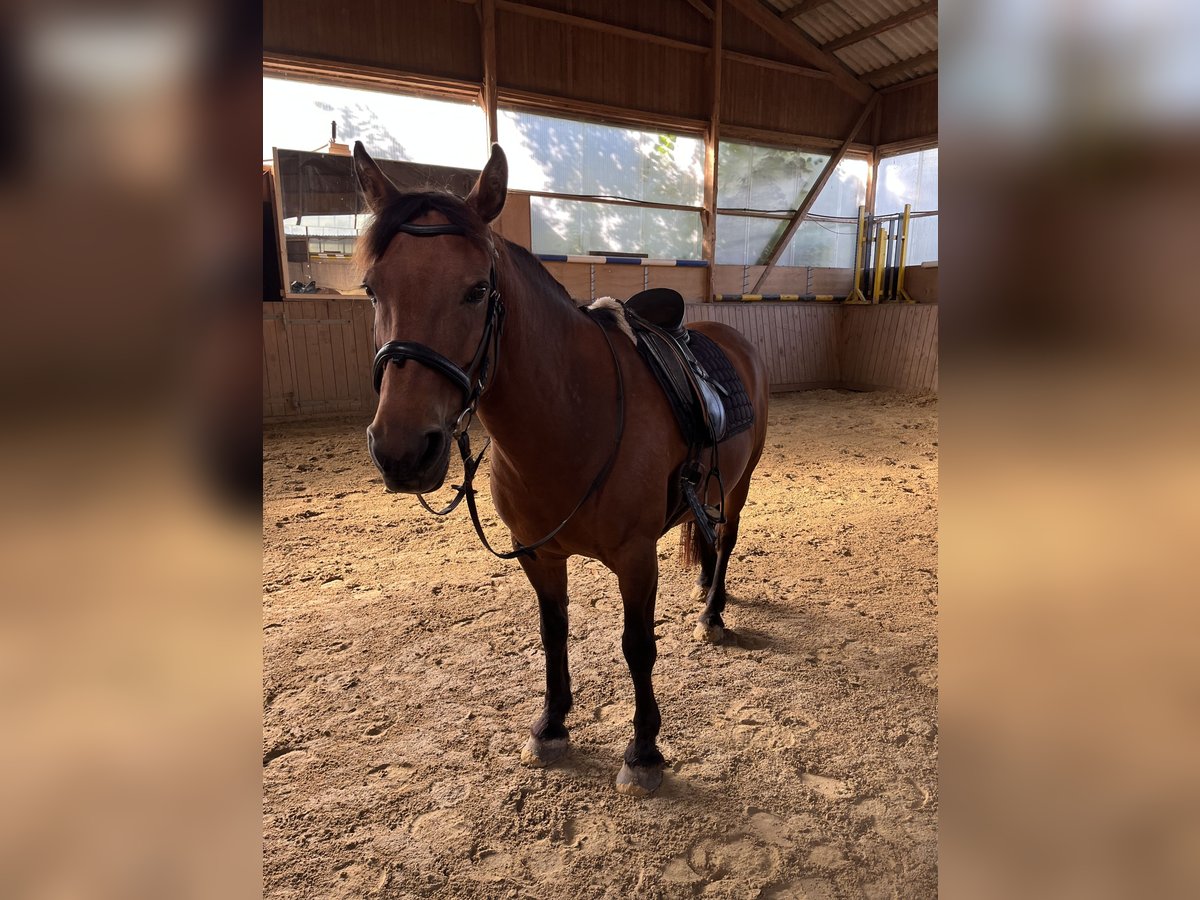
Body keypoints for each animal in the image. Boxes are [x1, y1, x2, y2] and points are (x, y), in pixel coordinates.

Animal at [355, 141, 769, 796]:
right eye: (372, 290)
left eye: (477, 289)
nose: (402, 450)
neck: (572, 416)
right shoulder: (538, 554)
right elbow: (553, 634)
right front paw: (551, 725)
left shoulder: (636, 557)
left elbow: (637, 647)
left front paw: (643, 751)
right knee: (707, 538)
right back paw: (705, 588)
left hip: (742, 483)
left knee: (725, 541)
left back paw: (713, 611)